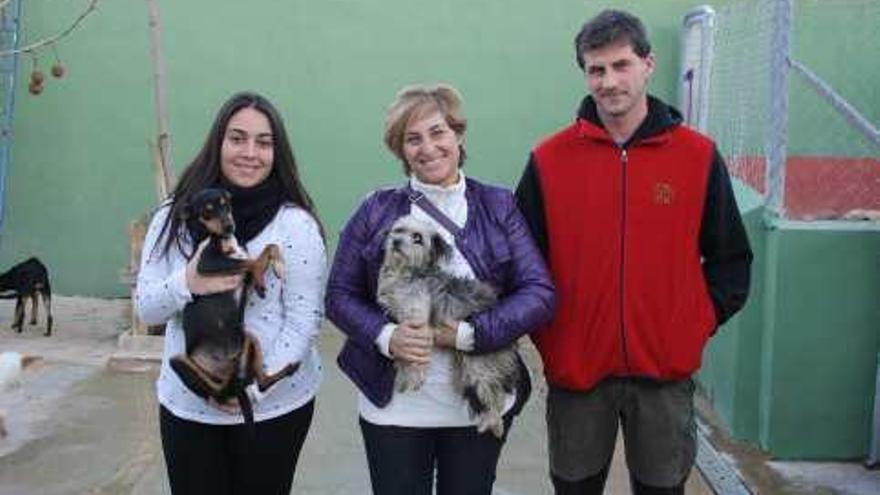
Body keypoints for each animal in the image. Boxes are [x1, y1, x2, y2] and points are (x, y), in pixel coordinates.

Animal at [376, 215, 516, 436]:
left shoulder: (418, 322)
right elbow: (403, 354)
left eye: (417, 238)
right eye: (398, 230)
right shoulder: (404, 329)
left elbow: (415, 361)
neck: (407, 273)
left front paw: (413, 377)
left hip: (478, 364)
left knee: (494, 393)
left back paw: (492, 423)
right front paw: (403, 370)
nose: (396, 242)